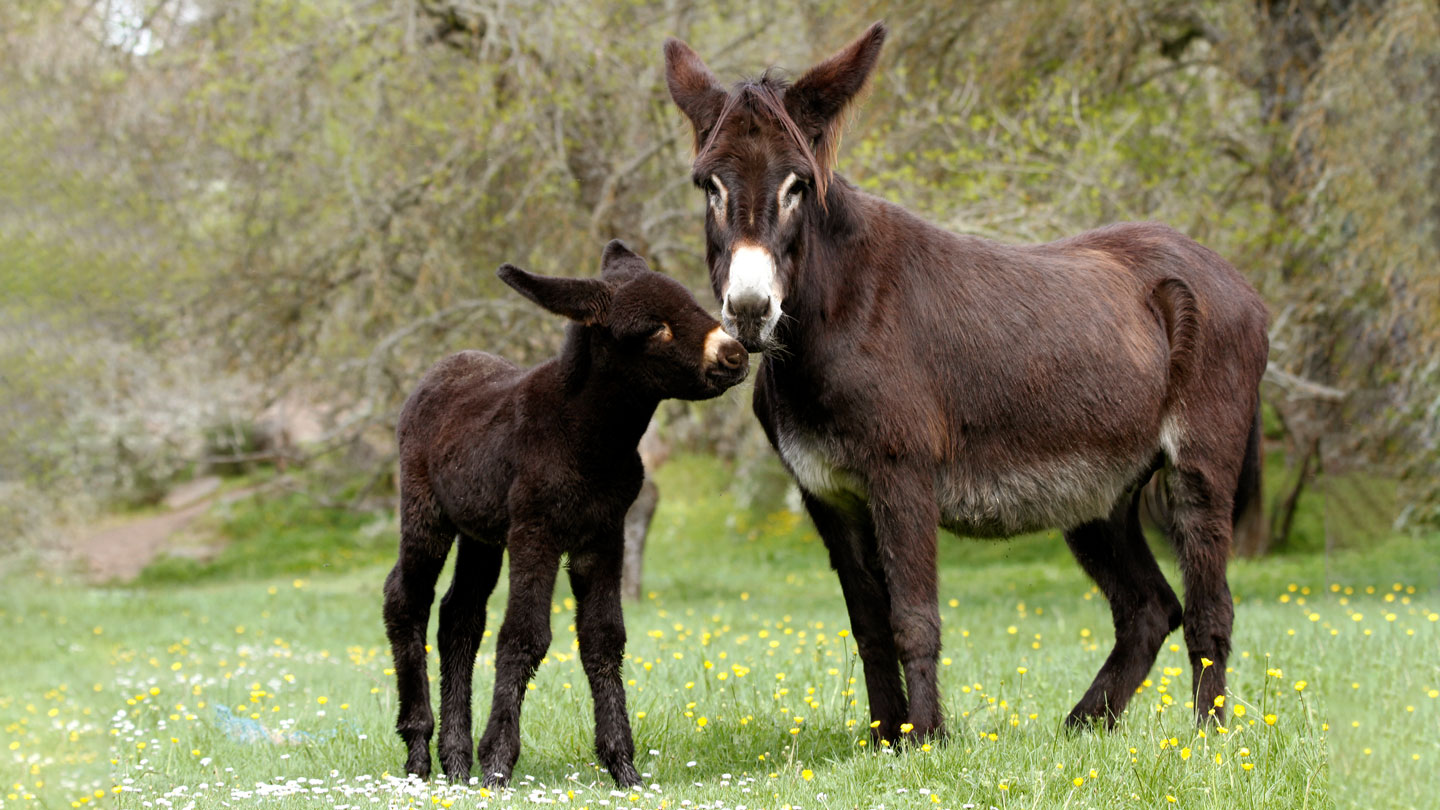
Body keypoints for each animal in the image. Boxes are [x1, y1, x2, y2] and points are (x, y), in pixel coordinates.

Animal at [383, 237, 748, 784]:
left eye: (694, 305)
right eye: (654, 327)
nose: (735, 356)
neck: (588, 437)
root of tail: (442, 367)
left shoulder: (605, 535)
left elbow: (604, 638)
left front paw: (623, 767)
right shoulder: (536, 533)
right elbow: (525, 636)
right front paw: (498, 763)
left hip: (481, 533)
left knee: (459, 617)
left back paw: (457, 761)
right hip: (426, 512)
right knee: (406, 598)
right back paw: (419, 752)